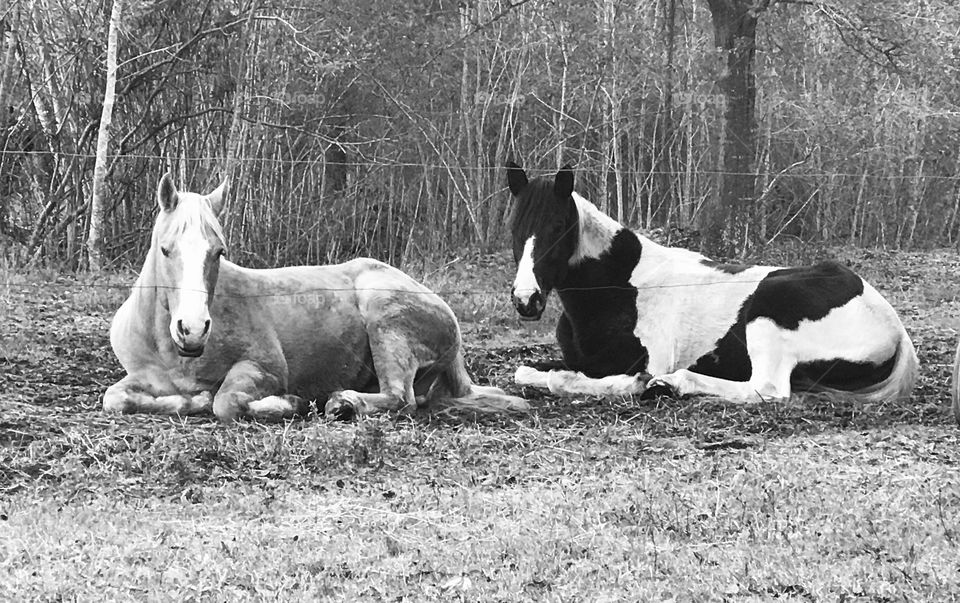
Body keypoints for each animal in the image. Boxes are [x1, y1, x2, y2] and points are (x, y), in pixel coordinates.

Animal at [102, 174, 529, 422]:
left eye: (219, 252)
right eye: (165, 249)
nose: (192, 330)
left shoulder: (264, 368)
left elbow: (226, 403)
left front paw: (288, 404)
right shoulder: (141, 377)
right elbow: (115, 398)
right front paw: (190, 401)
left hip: (384, 317)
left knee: (401, 398)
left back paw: (343, 403)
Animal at [505, 162, 918, 403]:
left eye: (559, 226)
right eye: (514, 225)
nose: (526, 300)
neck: (621, 286)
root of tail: (894, 327)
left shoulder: (650, 359)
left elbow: (569, 380)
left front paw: (640, 383)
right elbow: (529, 371)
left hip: (767, 312)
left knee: (768, 389)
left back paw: (674, 383)